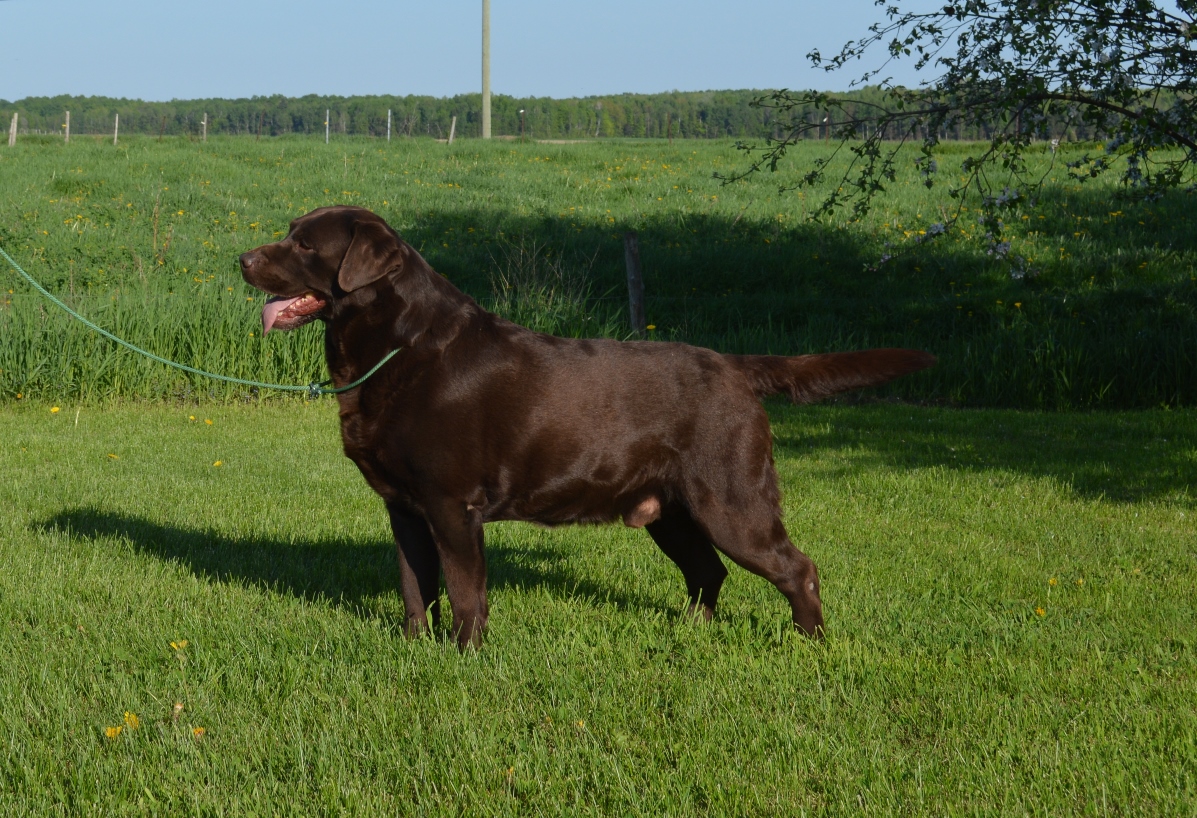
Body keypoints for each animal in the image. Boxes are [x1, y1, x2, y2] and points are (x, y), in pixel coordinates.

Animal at [240, 208, 933, 651]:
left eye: (306, 246)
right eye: (289, 235)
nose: (241, 258)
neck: (396, 348)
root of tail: (735, 366)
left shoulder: (452, 505)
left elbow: (465, 592)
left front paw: (464, 657)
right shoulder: (404, 507)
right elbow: (415, 586)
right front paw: (412, 649)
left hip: (732, 500)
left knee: (796, 567)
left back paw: (809, 644)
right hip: (671, 512)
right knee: (707, 572)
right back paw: (693, 635)